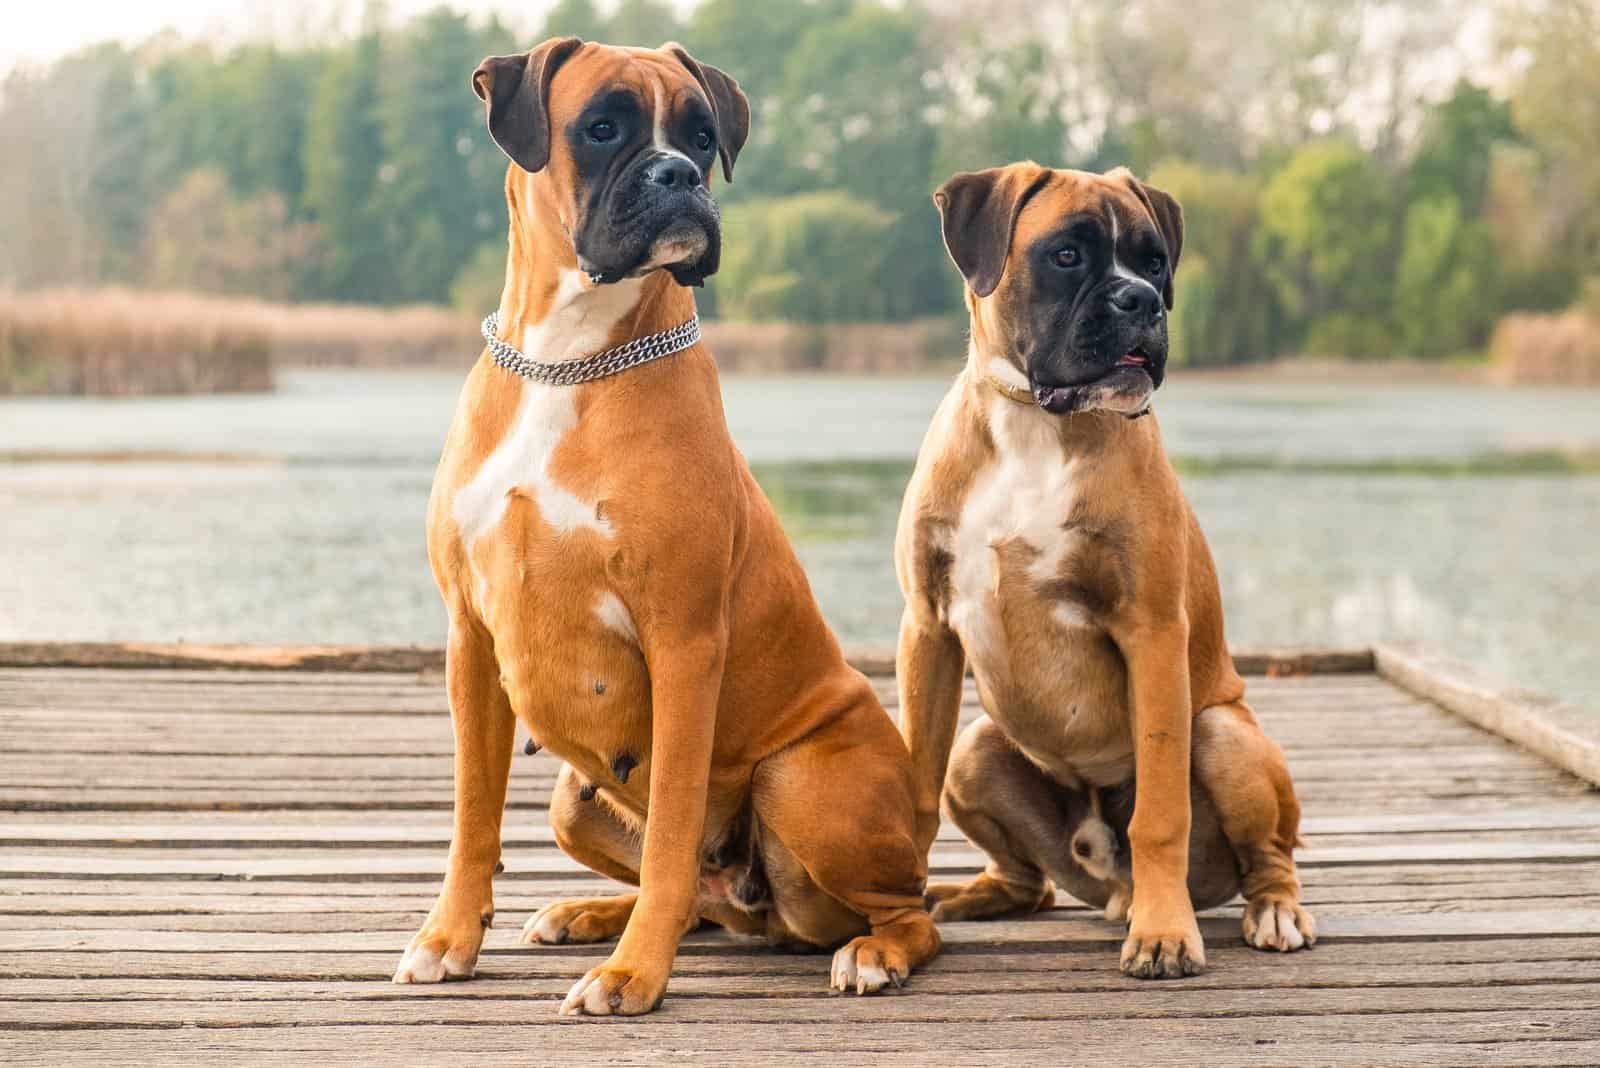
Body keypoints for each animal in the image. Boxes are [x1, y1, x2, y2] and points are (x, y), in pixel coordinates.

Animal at [388, 39, 934, 1010]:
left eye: (703, 135)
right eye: (602, 127)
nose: (679, 174)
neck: (567, 359)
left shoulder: (683, 642)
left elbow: (675, 825)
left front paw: (633, 975)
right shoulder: (470, 638)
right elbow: (471, 814)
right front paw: (449, 937)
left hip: (802, 779)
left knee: (907, 911)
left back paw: (871, 954)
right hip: (573, 797)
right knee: (700, 905)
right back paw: (585, 913)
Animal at [896, 160, 1318, 978]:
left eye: (1156, 263)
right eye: (1066, 255)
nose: (1142, 301)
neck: (1034, 425)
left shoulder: (1149, 631)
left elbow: (1159, 812)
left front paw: (1164, 934)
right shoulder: (928, 630)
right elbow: (913, 788)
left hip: (1222, 732)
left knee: (1270, 853)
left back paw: (1269, 910)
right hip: (977, 747)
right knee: (1030, 881)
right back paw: (980, 895)